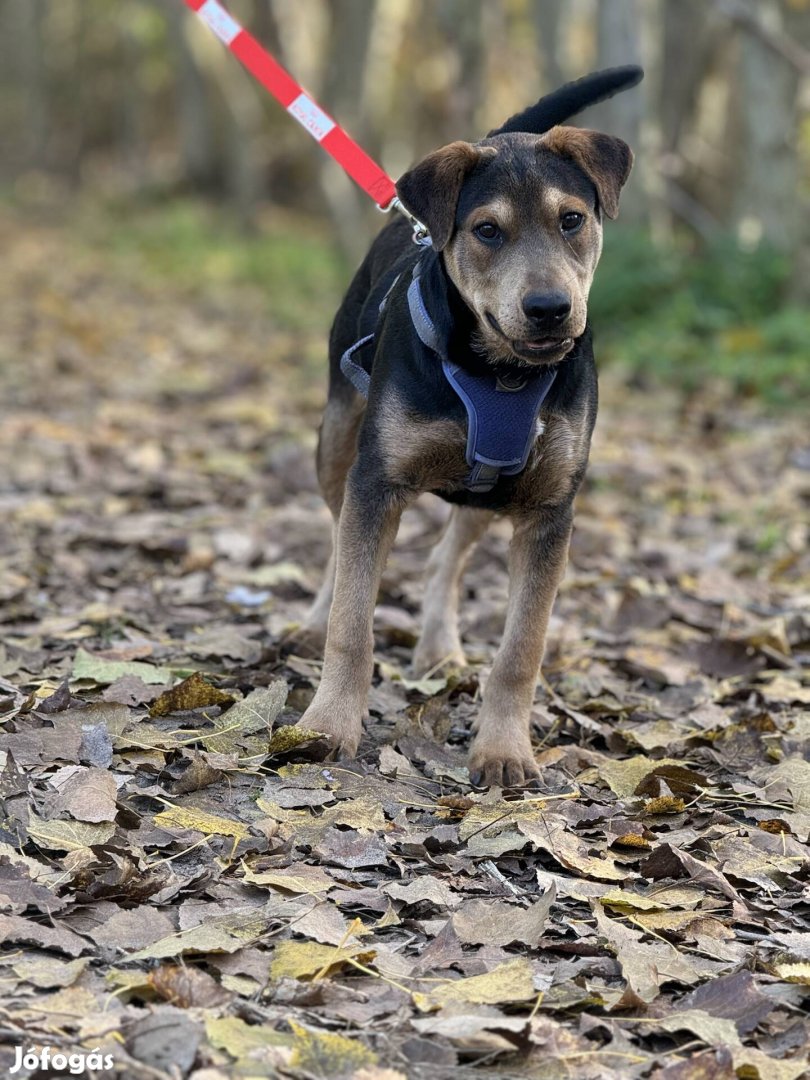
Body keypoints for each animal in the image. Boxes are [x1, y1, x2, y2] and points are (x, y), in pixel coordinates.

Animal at [295, 67, 643, 790]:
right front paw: (328, 725)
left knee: (445, 555)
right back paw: (314, 621)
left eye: (572, 219)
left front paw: (505, 752)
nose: (549, 309)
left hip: (490, 490)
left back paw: (438, 645)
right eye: (487, 230)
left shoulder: (548, 508)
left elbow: (522, 648)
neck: (498, 371)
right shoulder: (377, 480)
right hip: (338, 438)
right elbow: (354, 619)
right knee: (337, 540)